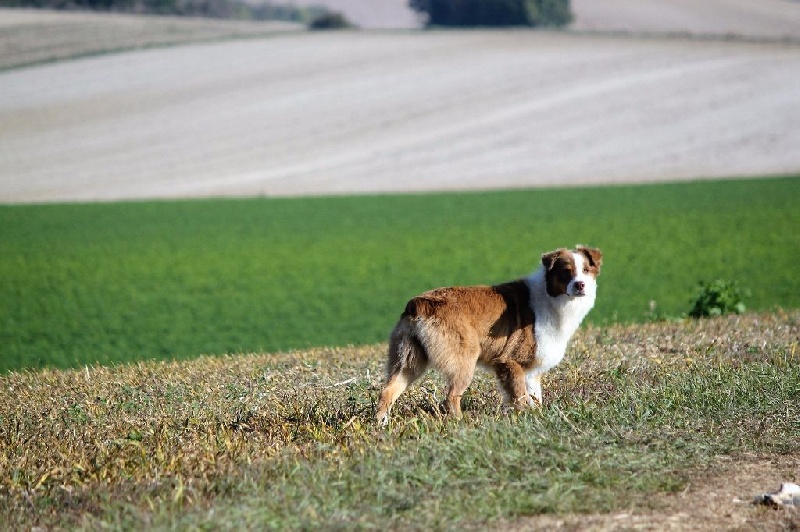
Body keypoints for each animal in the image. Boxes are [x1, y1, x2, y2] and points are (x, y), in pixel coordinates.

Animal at [376, 245, 600, 424]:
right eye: (566, 272)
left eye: (586, 270)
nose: (580, 285)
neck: (550, 297)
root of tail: (418, 303)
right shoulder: (509, 361)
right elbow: (520, 397)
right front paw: (524, 418)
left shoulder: (532, 371)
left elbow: (535, 397)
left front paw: (537, 417)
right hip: (465, 360)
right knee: (451, 396)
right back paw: (461, 423)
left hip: (408, 360)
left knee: (387, 390)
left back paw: (381, 424)